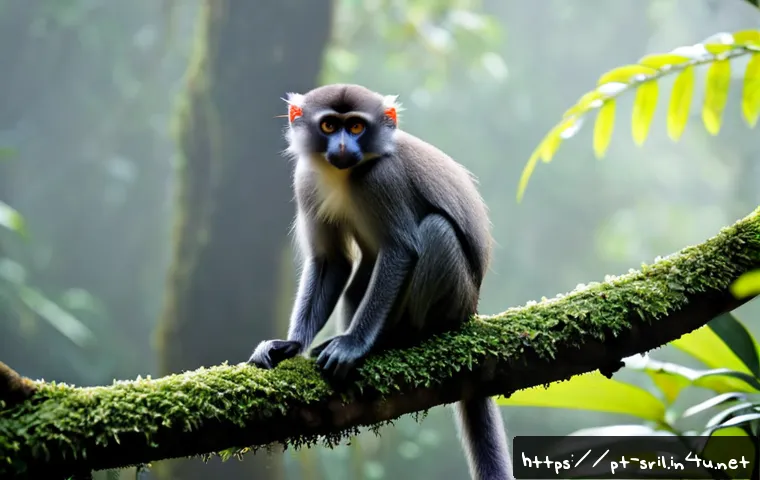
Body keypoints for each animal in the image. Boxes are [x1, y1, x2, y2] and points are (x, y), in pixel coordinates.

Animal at [248, 84, 513, 480]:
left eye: (357, 127)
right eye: (329, 125)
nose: (343, 146)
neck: (345, 175)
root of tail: (471, 310)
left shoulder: (381, 178)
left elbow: (401, 250)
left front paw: (352, 346)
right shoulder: (306, 180)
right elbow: (333, 262)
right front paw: (291, 345)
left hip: (454, 297)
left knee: (436, 231)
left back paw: (400, 339)